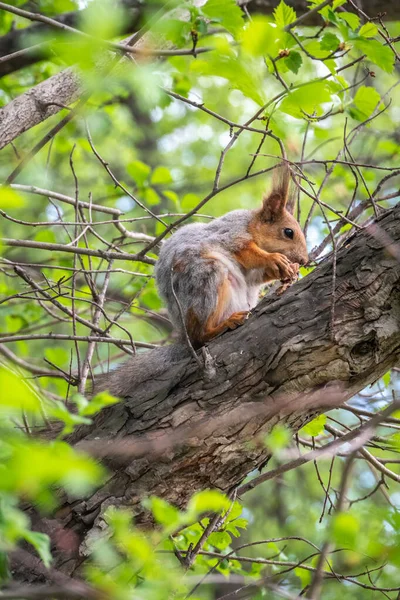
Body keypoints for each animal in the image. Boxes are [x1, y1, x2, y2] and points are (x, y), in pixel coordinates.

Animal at [156, 166, 310, 350]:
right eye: (288, 232)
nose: (304, 261)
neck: (250, 225)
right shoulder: (231, 234)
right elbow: (248, 252)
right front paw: (274, 258)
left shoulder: (251, 273)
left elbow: (255, 276)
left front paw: (291, 270)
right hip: (205, 282)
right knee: (198, 336)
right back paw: (223, 325)